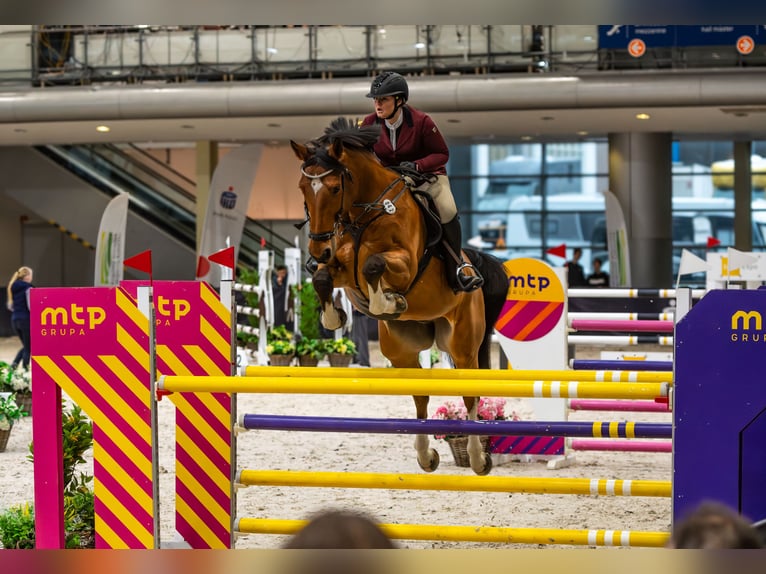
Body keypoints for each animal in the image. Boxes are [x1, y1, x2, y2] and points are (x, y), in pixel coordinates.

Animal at [288, 118, 510, 476]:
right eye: (302, 188)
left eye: (335, 188)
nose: (318, 249)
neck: (364, 214)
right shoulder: (341, 270)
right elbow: (323, 277)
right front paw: (334, 317)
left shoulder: (405, 265)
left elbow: (374, 264)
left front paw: (386, 302)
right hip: (402, 350)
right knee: (420, 395)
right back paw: (426, 456)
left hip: (463, 345)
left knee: (470, 396)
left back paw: (478, 459)